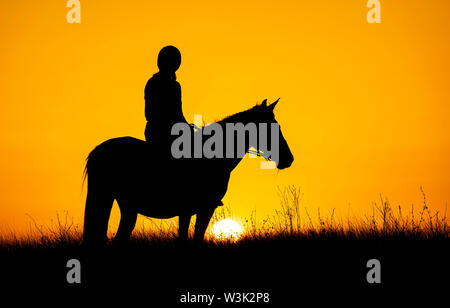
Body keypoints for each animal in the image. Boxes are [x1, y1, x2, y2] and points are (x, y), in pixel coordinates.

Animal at [82, 98, 294, 245]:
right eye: (271, 128)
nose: (289, 159)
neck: (212, 157)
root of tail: (99, 150)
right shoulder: (201, 208)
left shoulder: (189, 211)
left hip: (123, 204)